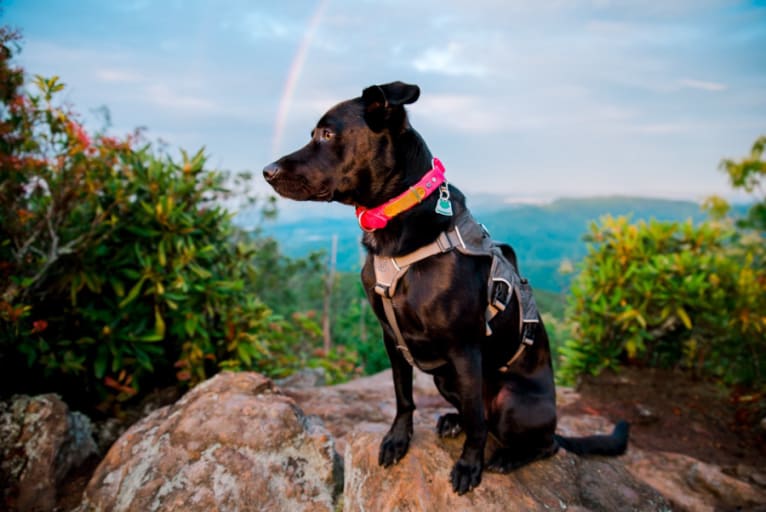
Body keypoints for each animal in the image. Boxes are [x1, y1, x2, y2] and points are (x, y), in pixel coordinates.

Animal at [264, 82, 632, 494]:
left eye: (327, 134)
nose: (266, 171)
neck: (397, 222)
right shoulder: (391, 338)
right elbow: (404, 397)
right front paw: (398, 440)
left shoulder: (464, 349)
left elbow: (477, 425)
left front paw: (471, 465)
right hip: (445, 377)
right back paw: (453, 421)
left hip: (510, 402)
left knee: (541, 441)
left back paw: (507, 456)